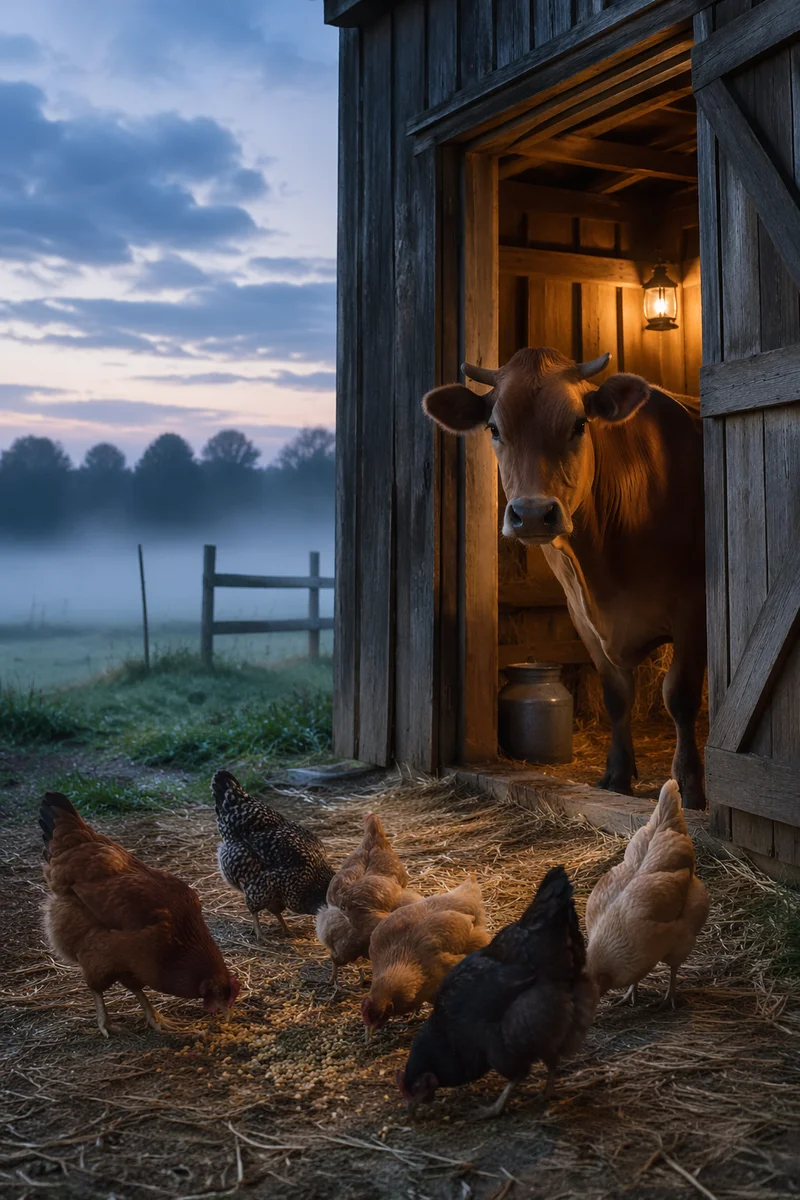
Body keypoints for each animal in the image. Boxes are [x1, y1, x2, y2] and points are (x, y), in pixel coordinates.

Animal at [422, 346, 706, 809]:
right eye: (494, 428)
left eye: (578, 424)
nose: (533, 513)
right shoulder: (582, 614)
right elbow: (616, 695)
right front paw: (616, 776)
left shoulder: (694, 607)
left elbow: (679, 695)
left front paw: (690, 787)